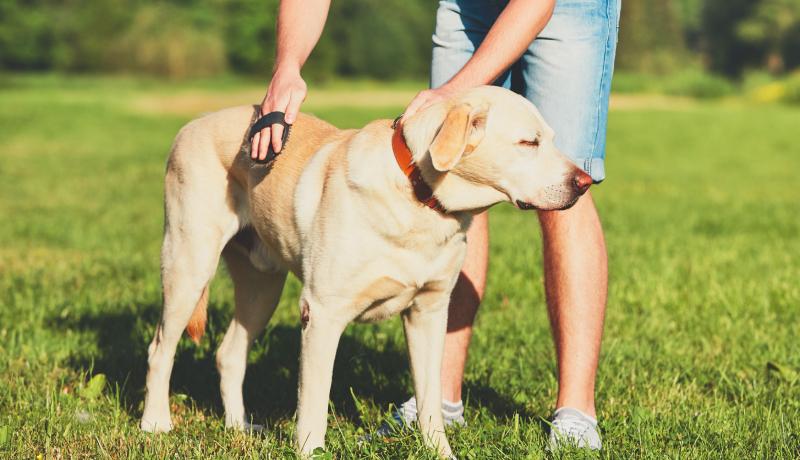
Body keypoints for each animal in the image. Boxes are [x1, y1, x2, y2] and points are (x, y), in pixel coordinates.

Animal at [141, 85, 592, 456]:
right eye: (528, 142)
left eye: (551, 139)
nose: (586, 182)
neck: (419, 197)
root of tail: (195, 121)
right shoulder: (322, 314)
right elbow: (314, 404)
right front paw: (311, 451)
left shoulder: (429, 314)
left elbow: (430, 403)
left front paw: (440, 453)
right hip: (189, 264)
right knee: (160, 349)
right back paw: (155, 424)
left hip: (262, 288)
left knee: (229, 354)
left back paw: (239, 428)